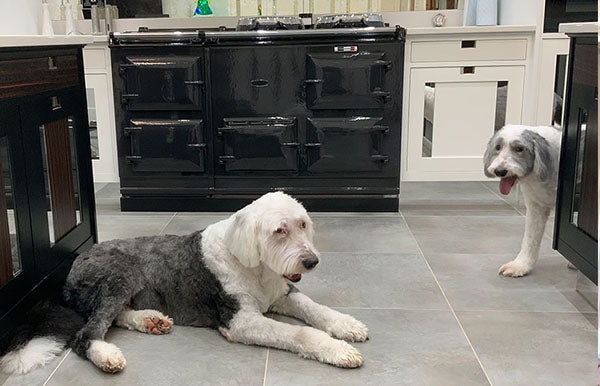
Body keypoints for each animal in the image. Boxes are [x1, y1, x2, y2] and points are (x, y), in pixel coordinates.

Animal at [0, 192, 368, 374]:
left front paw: (347, 325)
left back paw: (150, 320)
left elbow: (314, 308)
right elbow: (299, 333)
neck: (253, 264)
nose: (311, 262)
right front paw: (338, 350)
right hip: (120, 273)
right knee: (87, 330)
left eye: (303, 224)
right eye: (280, 230)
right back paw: (106, 355)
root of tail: (70, 271)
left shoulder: (282, 293)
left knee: (112, 316)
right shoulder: (240, 321)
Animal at [482, 125, 564, 276]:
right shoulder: (536, 206)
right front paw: (520, 265)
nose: (500, 171)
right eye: (498, 147)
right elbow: (530, 238)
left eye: (519, 148)